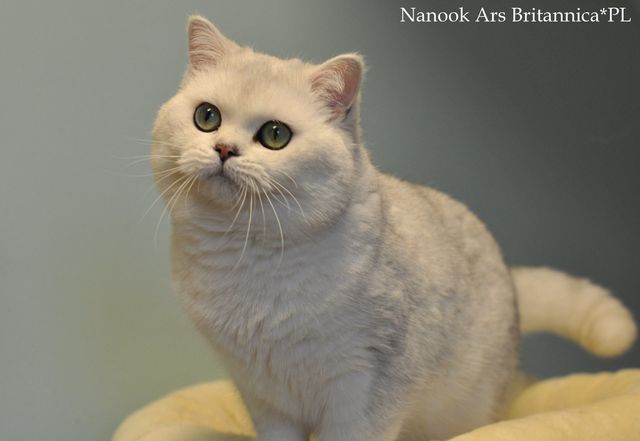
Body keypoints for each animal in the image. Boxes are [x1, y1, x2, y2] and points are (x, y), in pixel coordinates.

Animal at [150, 15, 637, 441]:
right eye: (207, 117)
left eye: (274, 135)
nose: (224, 149)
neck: (246, 254)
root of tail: (512, 284)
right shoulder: (265, 398)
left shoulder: (362, 390)